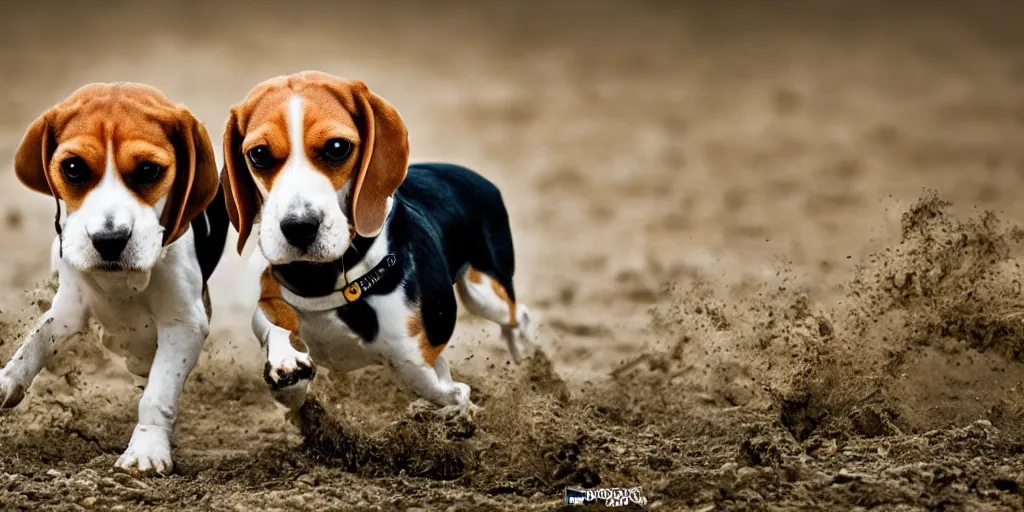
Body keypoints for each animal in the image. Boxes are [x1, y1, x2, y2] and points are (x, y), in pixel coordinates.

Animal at [0, 81, 226, 473]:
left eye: (149, 170)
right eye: (73, 168)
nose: (109, 240)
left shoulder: (185, 322)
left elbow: (157, 393)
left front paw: (146, 449)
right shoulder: (69, 308)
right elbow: (34, 342)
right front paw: (6, 382)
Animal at [223, 72, 536, 413]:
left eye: (337, 147)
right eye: (259, 154)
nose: (298, 227)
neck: (330, 278)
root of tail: (470, 175)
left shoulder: (416, 358)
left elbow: (439, 387)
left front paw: (462, 407)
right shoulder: (270, 298)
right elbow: (275, 324)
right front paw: (289, 371)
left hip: (485, 292)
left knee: (519, 317)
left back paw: (532, 367)